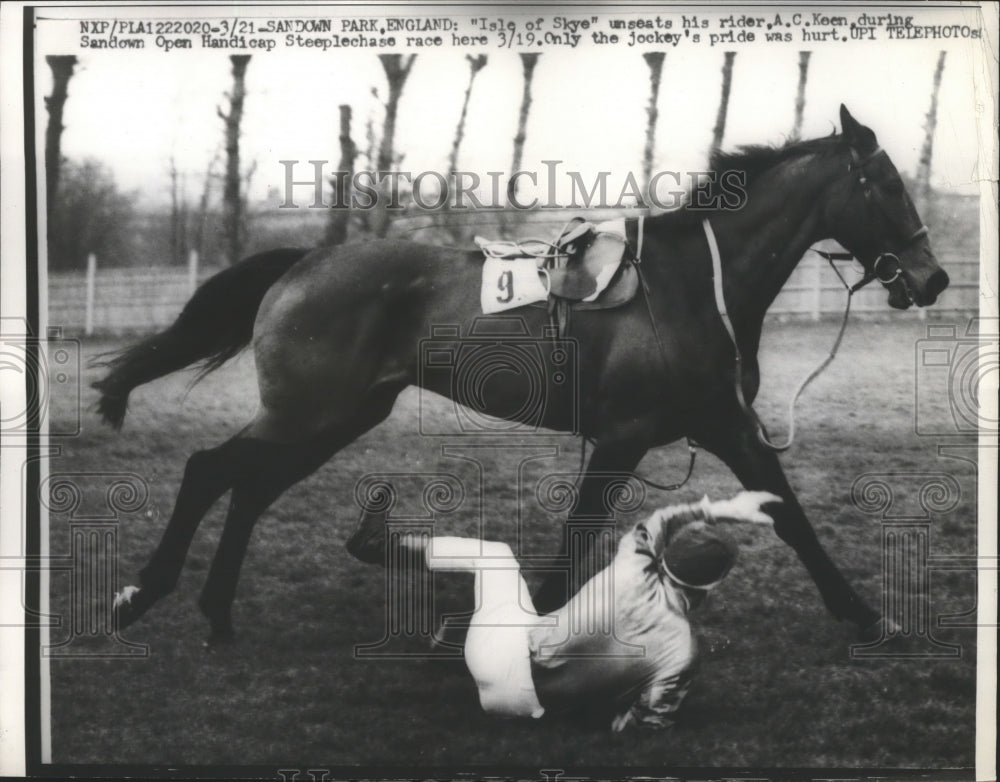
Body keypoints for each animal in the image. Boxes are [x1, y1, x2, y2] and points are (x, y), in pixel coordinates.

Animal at [97, 105, 948, 644]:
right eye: (888, 186)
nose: (933, 276)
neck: (689, 287)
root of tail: (303, 261)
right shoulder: (623, 437)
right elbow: (574, 540)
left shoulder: (727, 425)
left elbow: (791, 516)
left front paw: (869, 617)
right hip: (306, 413)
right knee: (210, 471)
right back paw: (142, 596)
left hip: (335, 418)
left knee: (246, 489)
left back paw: (215, 614)